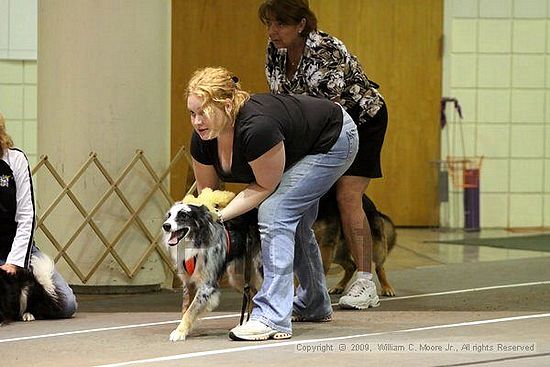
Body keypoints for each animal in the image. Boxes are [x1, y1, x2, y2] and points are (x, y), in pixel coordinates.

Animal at [162, 203, 264, 340]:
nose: (166, 226)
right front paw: (186, 330)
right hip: (237, 276)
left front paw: (179, 332)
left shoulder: (207, 286)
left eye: (183, 215)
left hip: (258, 271)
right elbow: (186, 308)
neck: (195, 241)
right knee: (252, 294)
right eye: (169, 215)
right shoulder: (188, 282)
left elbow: (191, 310)